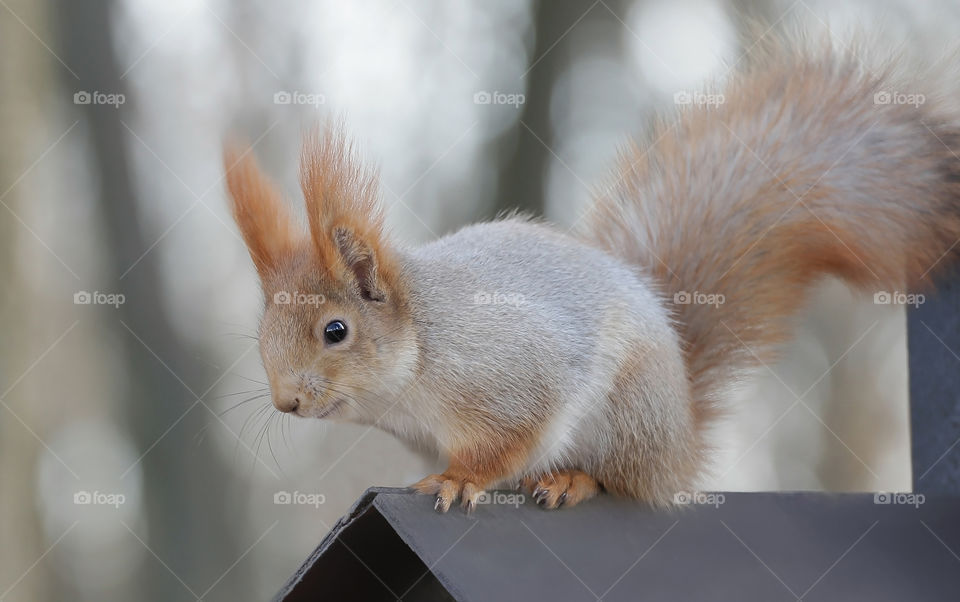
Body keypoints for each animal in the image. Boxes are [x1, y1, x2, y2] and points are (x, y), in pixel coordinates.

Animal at [224, 34, 960, 513]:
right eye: (259, 335)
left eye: (336, 330)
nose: (286, 402)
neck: (419, 360)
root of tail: (680, 439)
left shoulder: (511, 371)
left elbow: (513, 435)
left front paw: (461, 479)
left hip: (627, 419)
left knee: (623, 481)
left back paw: (573, 480)